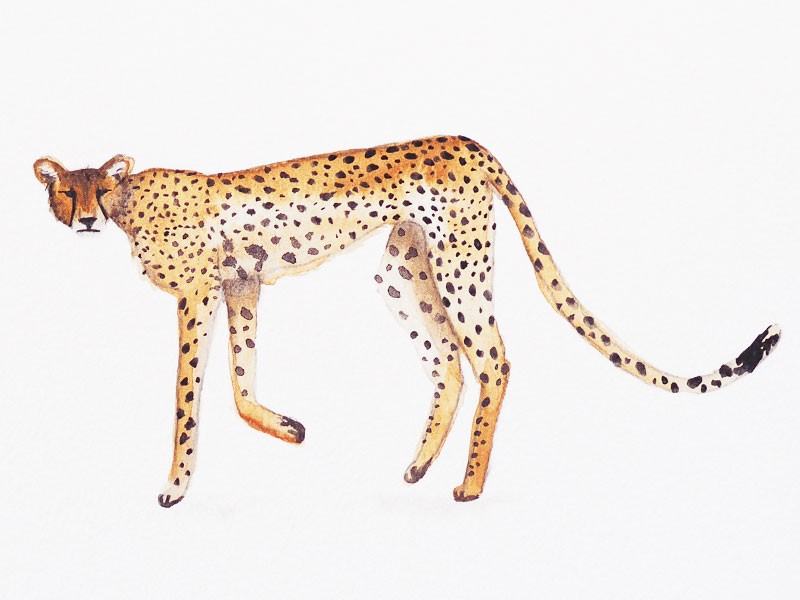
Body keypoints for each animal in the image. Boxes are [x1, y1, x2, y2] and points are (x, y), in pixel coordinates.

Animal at [33, 135, 781, 507]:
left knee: (493, 359)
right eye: (66, 191)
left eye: (99, 186)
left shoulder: (197, 293)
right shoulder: (240, 285)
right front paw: (290, 428)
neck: (131, 202)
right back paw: (420, 466)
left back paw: (470, 485)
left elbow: (187, 399)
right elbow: (241, 389)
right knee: (449, 360)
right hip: (400, 272)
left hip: (457, 264)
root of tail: (471, 140)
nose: (87, 216)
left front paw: (175, 487)